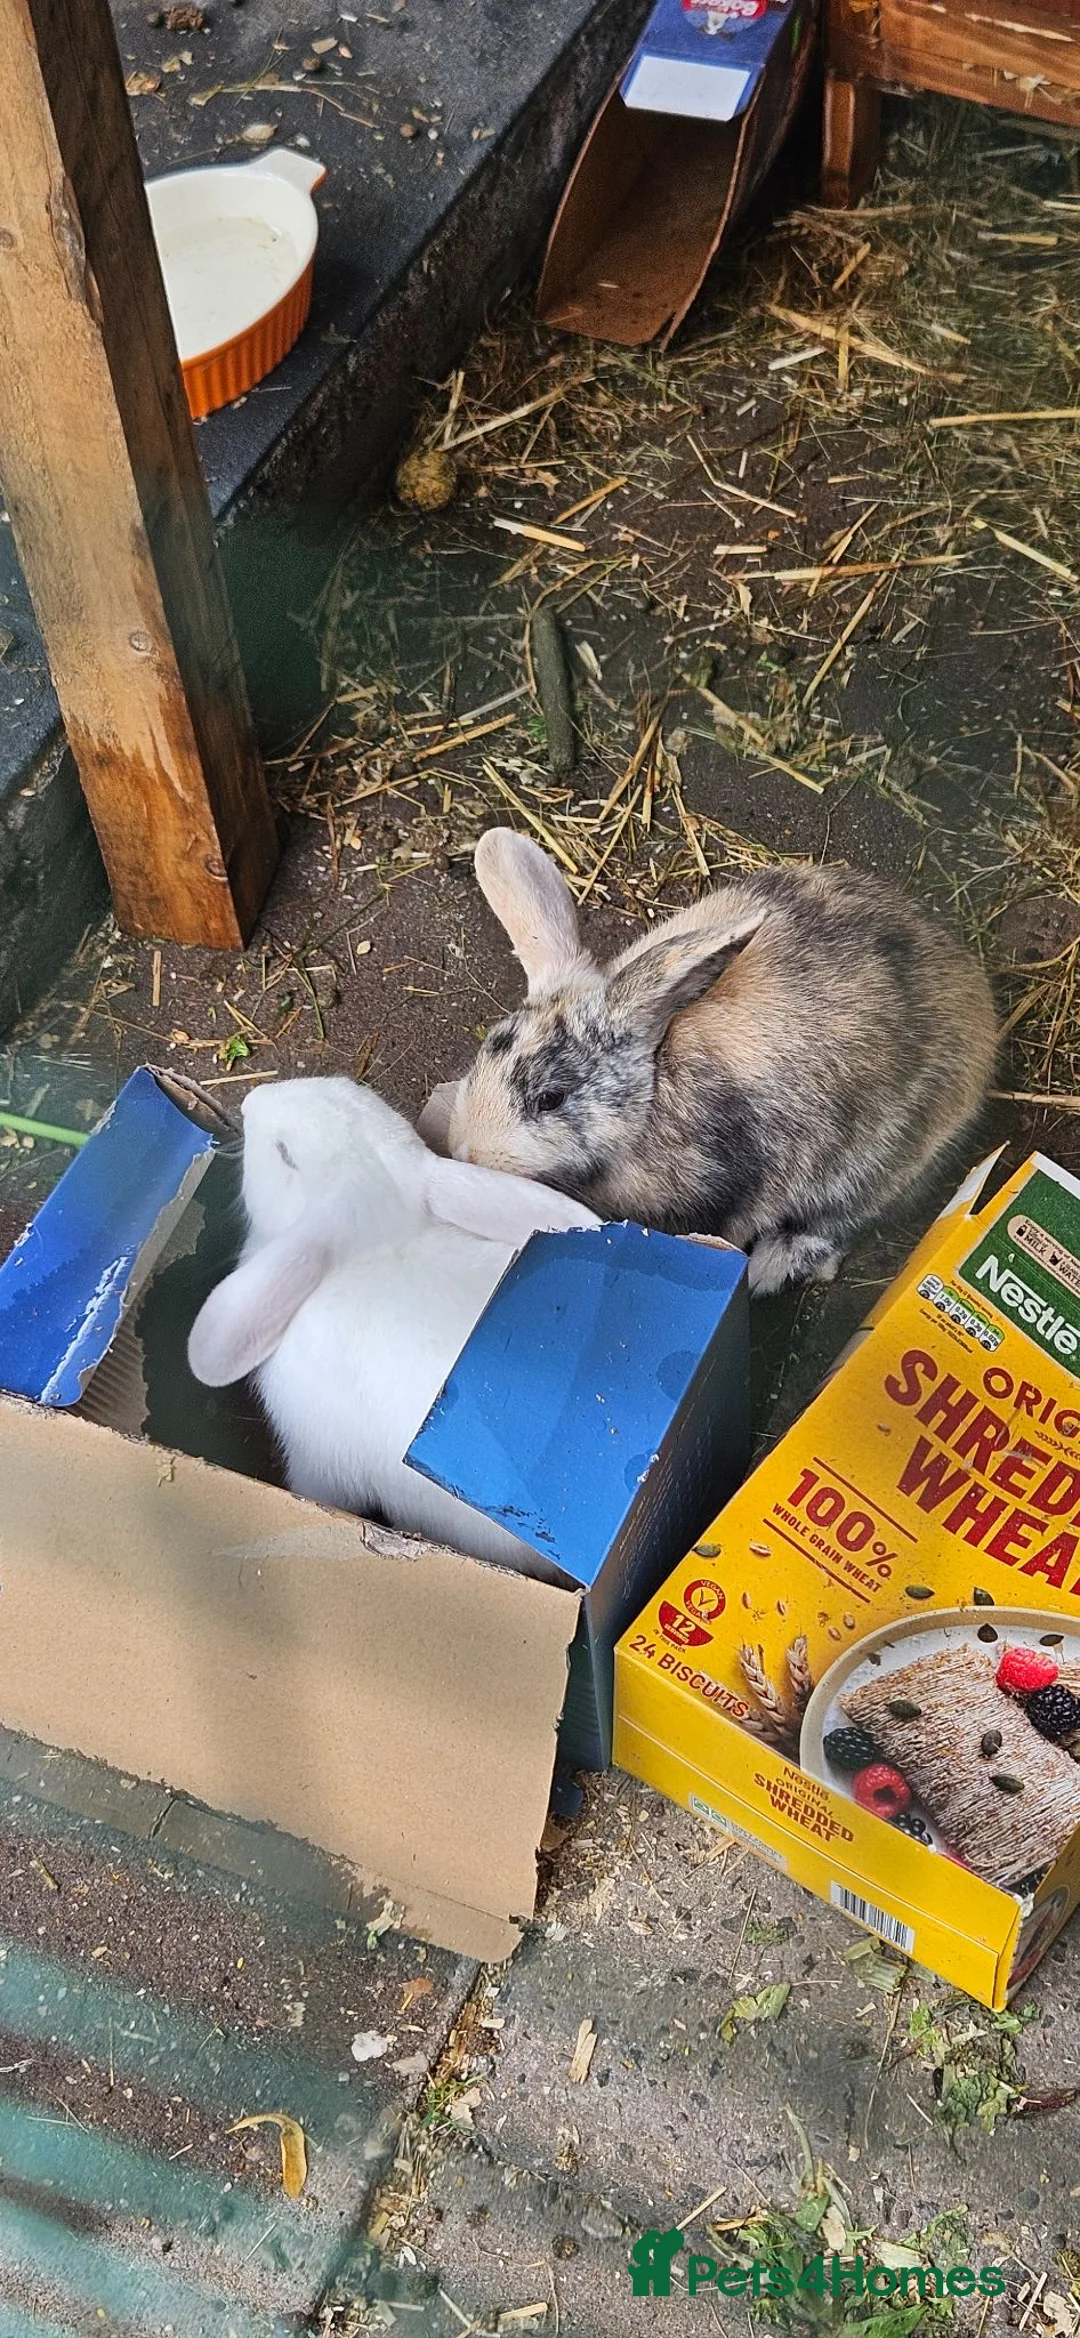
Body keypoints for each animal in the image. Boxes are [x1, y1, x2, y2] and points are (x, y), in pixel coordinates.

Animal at [418, 828, 998, 1298]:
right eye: (484, 1055)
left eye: (551, 1098)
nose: (467, 1152)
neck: (654, 1087)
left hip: (882, 1159)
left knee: (839, 1220)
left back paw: (771, 1268)